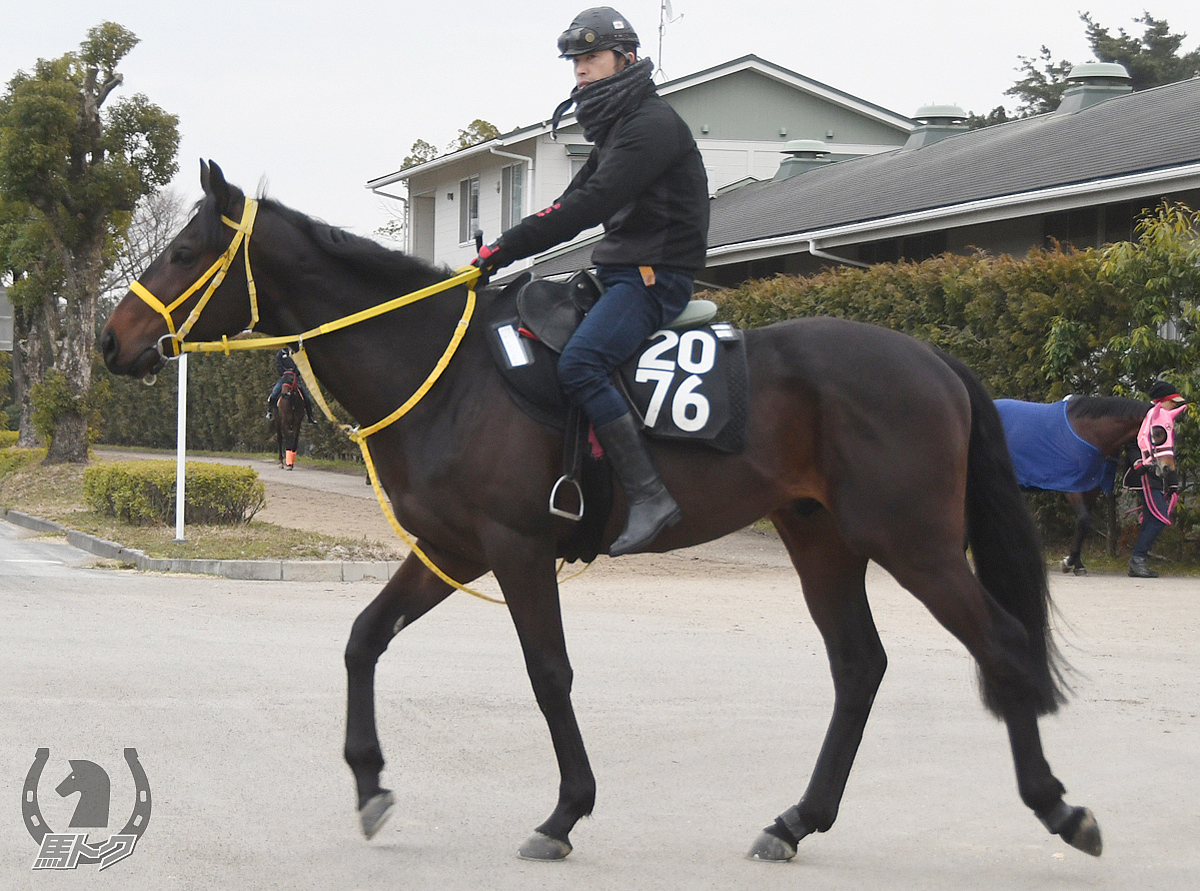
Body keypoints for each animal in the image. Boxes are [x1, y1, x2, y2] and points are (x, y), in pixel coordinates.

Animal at [98, 160, 1099, 864]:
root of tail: (933, 361)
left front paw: (565, 809)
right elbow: (362, 639)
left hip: (915, 543)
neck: (448, 371)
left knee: (1002, 645)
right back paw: (796, 819)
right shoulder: (450, 549)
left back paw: (1059, 805)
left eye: (184, 252)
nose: (111, 340)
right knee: (859, 667)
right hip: (823, 539)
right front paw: (370, 782)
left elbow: (549, 673)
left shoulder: (515, 547)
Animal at [993, 396, 1152, 576]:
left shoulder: (1090, 489)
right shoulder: (1073, 488)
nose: (1162, 469)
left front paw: (1078, 564)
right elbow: (1083, 520)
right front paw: (1068, 562)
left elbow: (1082, 525)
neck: (1088, 435)